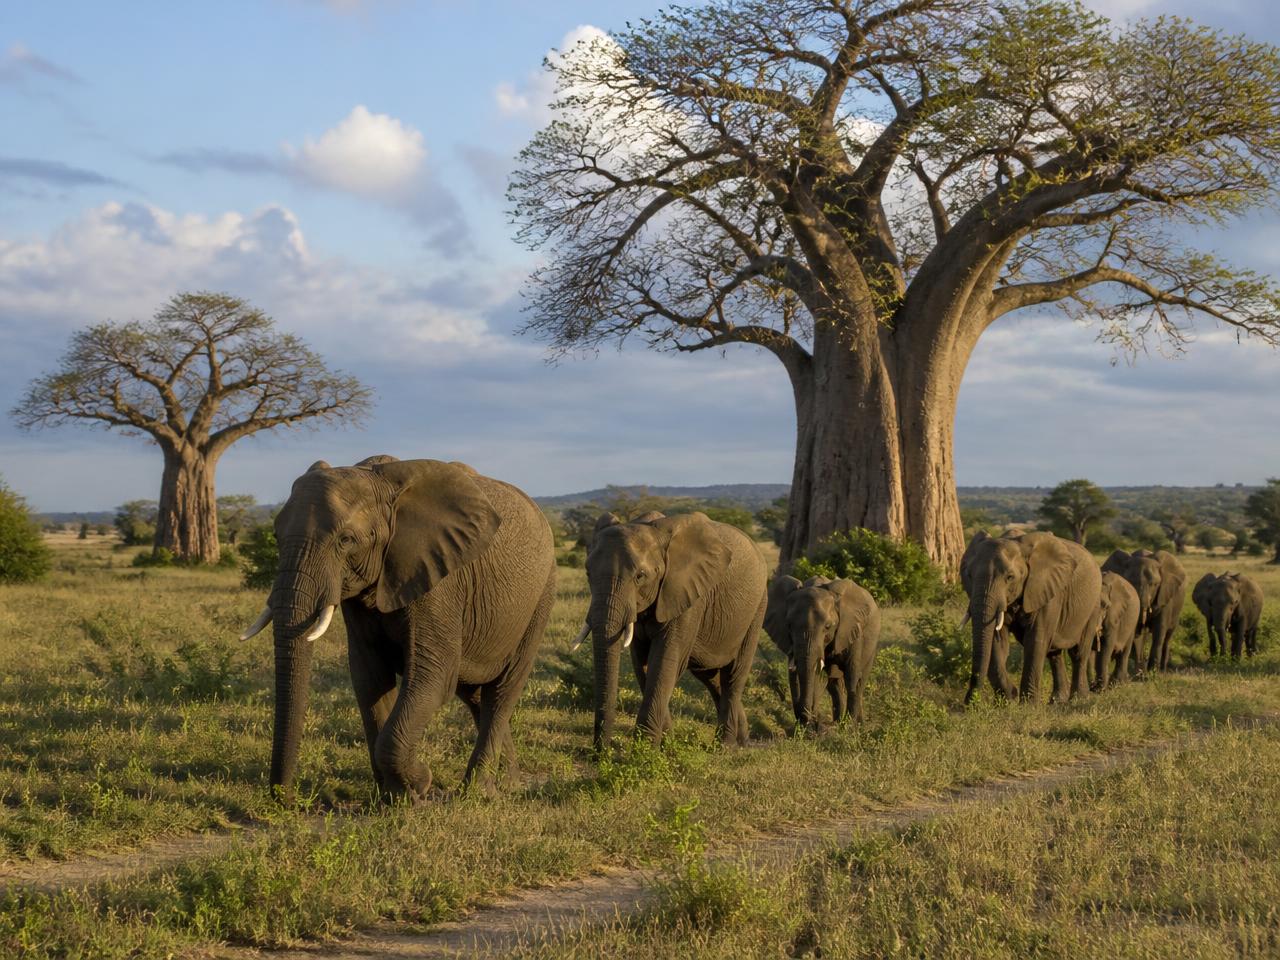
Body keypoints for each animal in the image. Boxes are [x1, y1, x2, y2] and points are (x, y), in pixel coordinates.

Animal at [239, 456, 556, 803]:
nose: (288, 799)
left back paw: (478, 792)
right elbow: (369, 676)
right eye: (276, 536)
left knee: (502, 691)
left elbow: (432, 675)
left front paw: (418, 783)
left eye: (346, 540)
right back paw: (508, 782)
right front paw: (394, 798)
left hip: (541, 597)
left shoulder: (440, 579)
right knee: (474, 693)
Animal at [574, 511, 767, 750]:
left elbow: (664, 660)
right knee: (711, 678)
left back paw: (726, 746)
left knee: (733, 676)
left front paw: (645, 750)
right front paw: (664, 744)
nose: (601, 752)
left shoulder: (688, 595)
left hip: (757, 609)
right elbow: (643, 664)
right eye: (587, 572)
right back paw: (743, 740)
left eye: (640, 576)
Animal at [763, 574, 880, 728]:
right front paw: (814, 725)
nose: (804, 721)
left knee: (860, 680)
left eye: (828, 626)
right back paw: (837, 722)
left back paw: (856, 724)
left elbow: (851, 674)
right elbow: (817, 676)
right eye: (789, 625)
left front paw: (850, 727)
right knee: (833, 684)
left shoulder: (853, 629)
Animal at [960, 531, 1102, 704]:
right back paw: (1057, 700)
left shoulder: (1048, 591)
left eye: (1010, 577)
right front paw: (1008, 700)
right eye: (969, 575)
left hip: (1093, 605)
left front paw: (1027, 705)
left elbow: (1035, 640)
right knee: (1054, 654)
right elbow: (998, 641)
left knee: (1078, 653)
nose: (969, 702)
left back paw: (1078, 699)